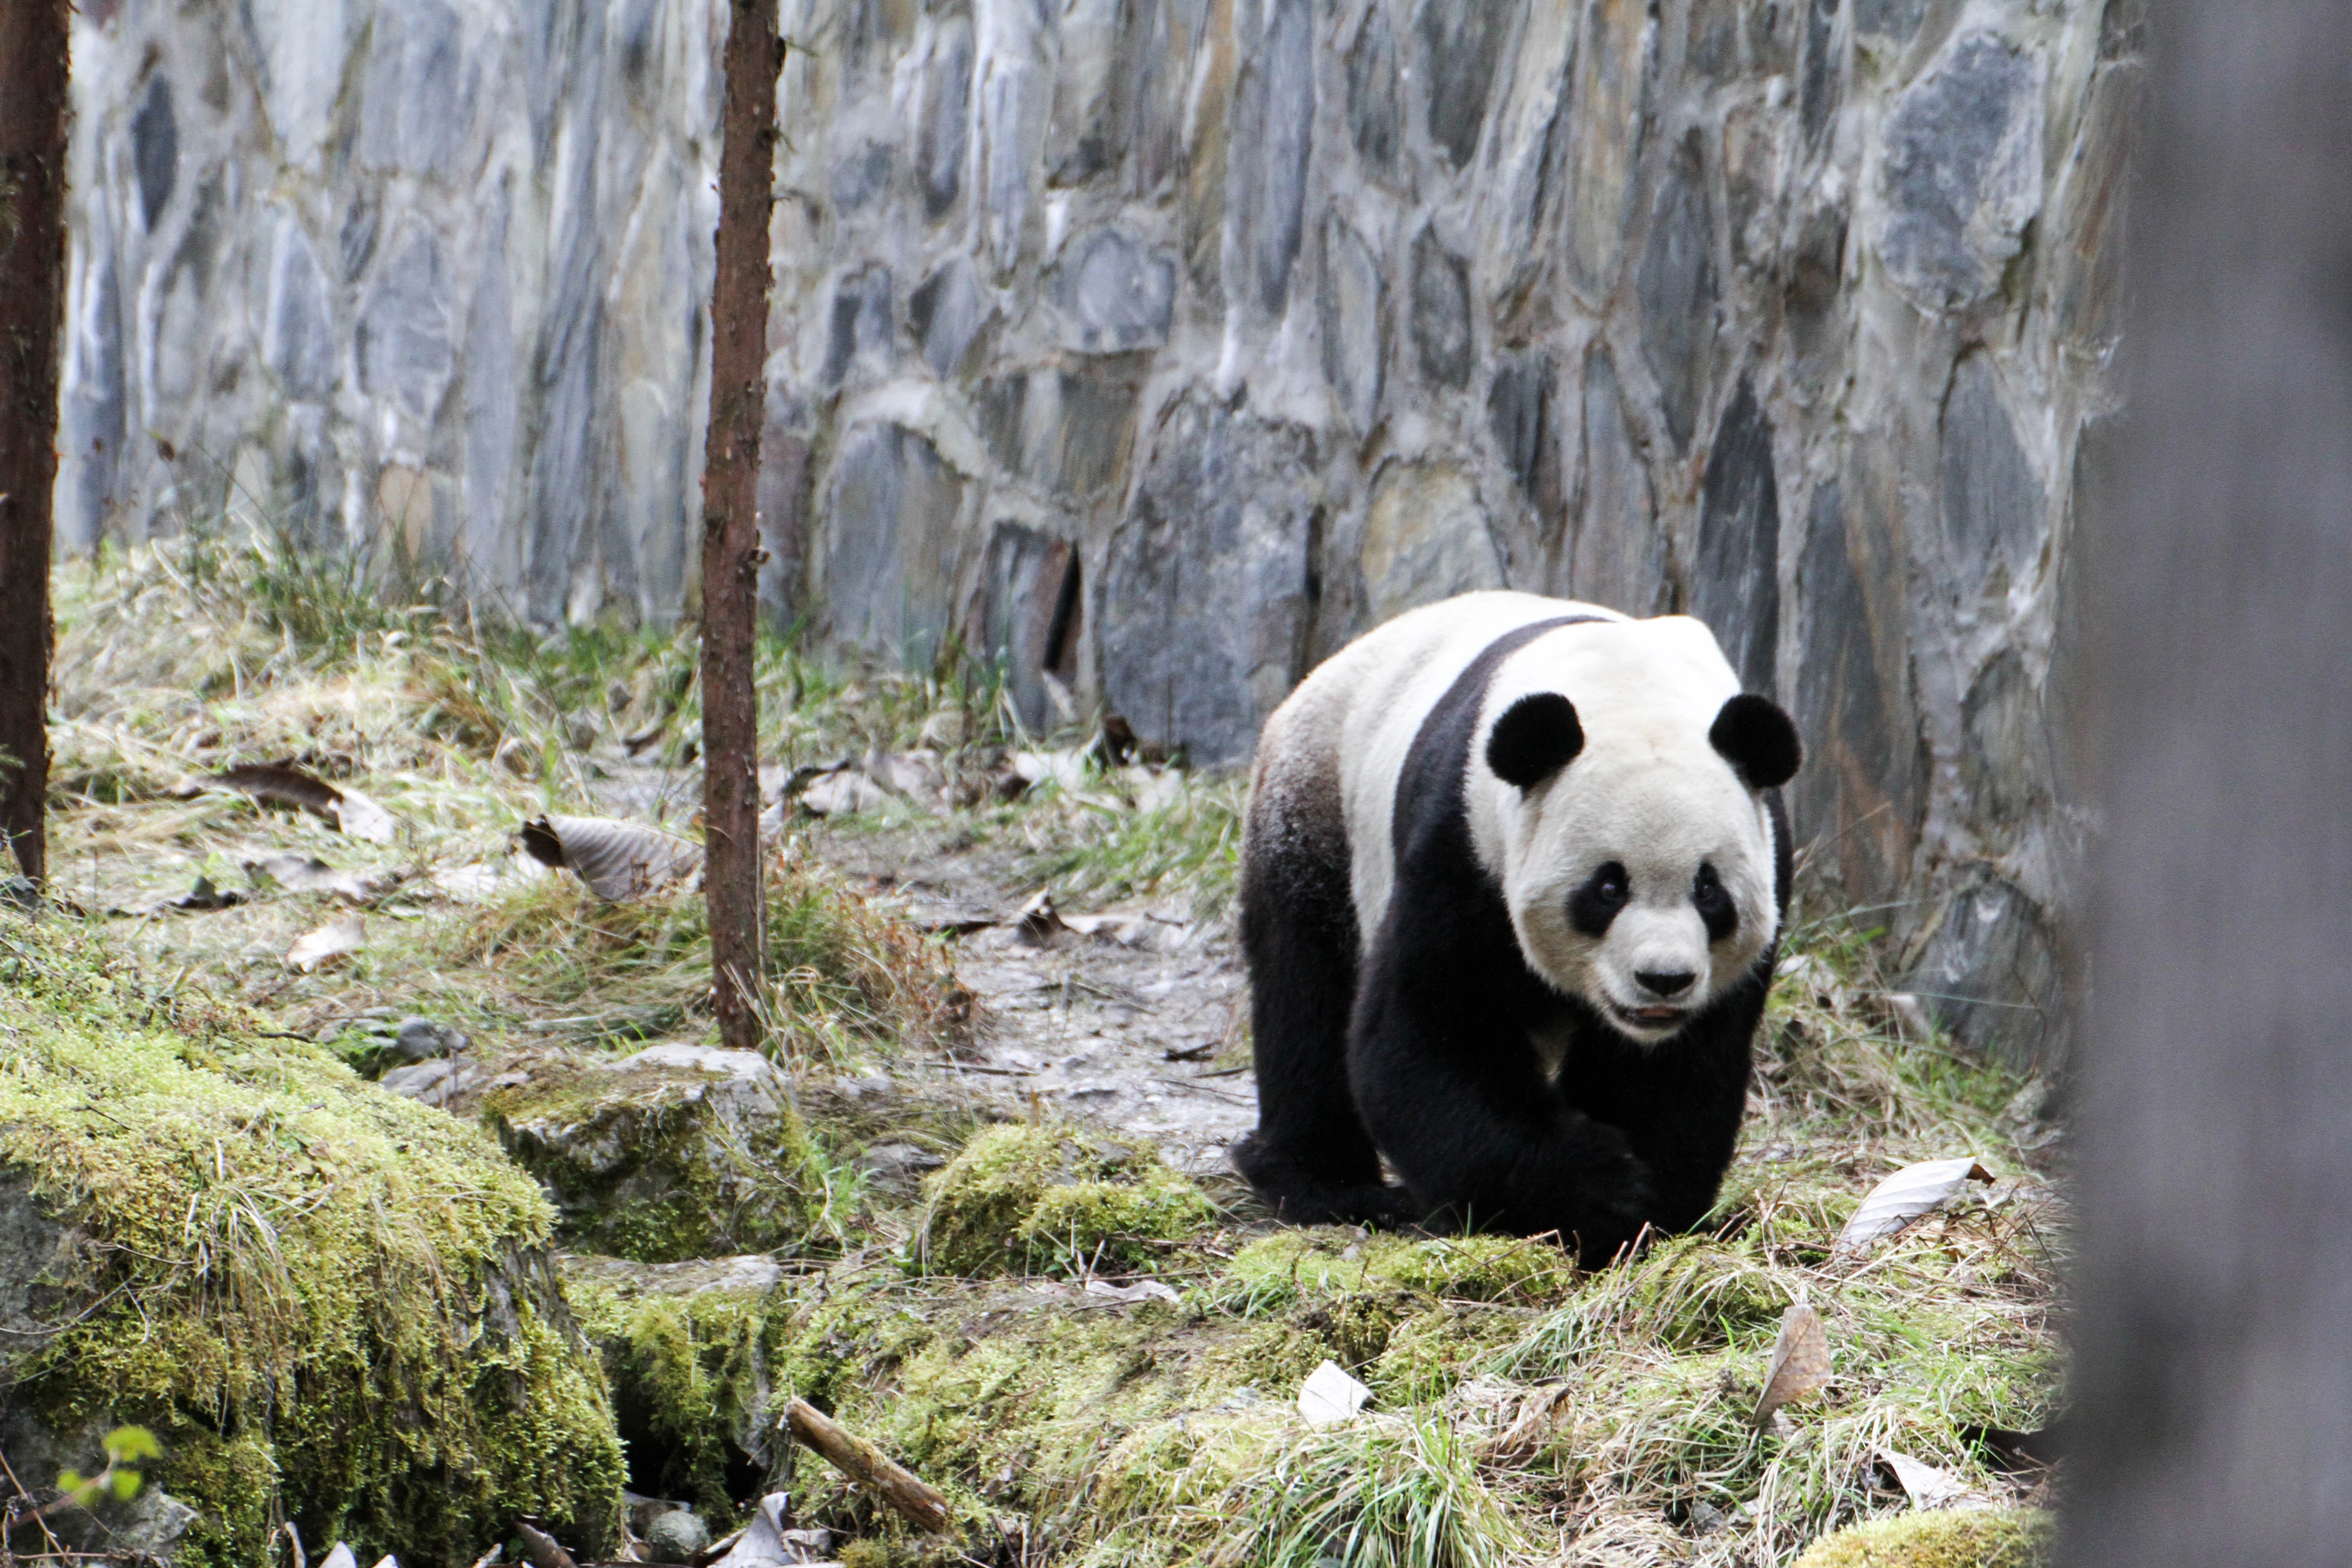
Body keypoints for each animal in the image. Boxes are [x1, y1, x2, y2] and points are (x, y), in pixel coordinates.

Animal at [1229, 591, 1799, 1266]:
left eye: (1709, 891)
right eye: (1608, 888)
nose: (1664, 981)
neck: (1629, 688)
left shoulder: (1766, 858)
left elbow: (1673, 1075)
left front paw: (1648, 1211)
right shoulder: (1465, 843)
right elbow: (1430, 1035)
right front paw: (1595, 1191)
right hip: (1317, 798)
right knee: (1306, 986)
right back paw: (1330, 1186)